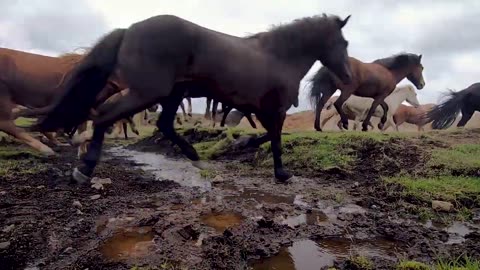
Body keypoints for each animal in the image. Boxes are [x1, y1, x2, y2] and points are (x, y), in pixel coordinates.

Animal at [36, 14, 352, 184]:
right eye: (344, 43)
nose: (348, 76)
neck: (278, 56)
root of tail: (129, 30)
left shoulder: (260, 110)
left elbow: (268, 136)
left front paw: (241, 144)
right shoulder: (274, 109)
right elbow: (275, 139)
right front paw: (282, 173)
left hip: (170, 94)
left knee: (162, 124)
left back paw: (196, 158)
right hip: (149, 92)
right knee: (105, 115)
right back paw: (85, 170)